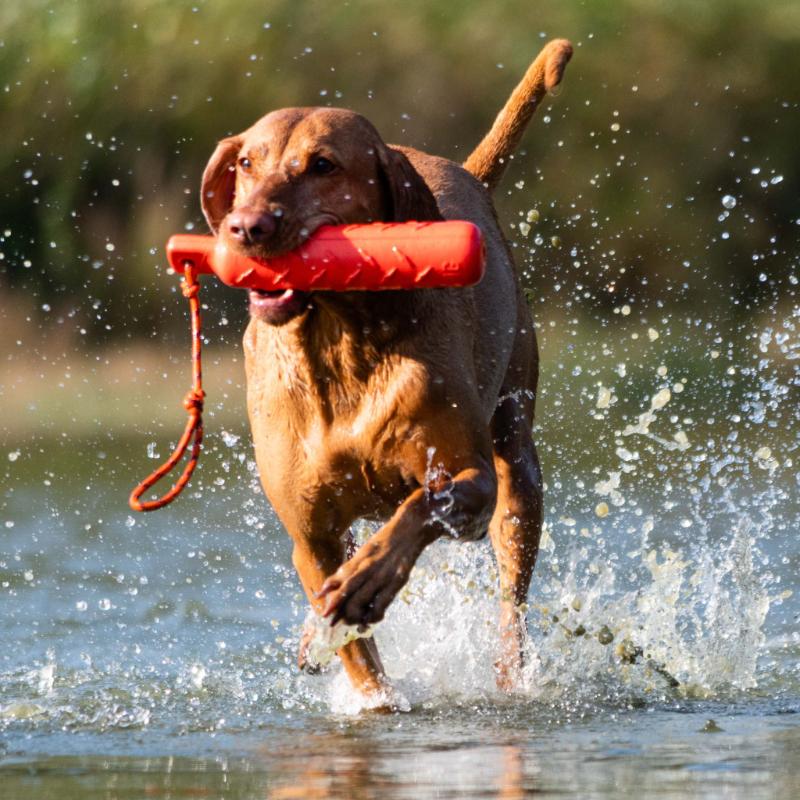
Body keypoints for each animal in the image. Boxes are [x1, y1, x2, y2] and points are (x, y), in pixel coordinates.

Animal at [202, 39, 576, 700]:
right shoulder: (311, 534)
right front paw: (364, 684)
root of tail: (465, 171)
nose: (246, 227)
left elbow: (421, 508)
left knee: (512, 600)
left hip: (517, 471)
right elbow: (360, 660)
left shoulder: (472, 482)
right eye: (246, 163)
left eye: (323, 165)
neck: (341, 348)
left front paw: (368, 581)